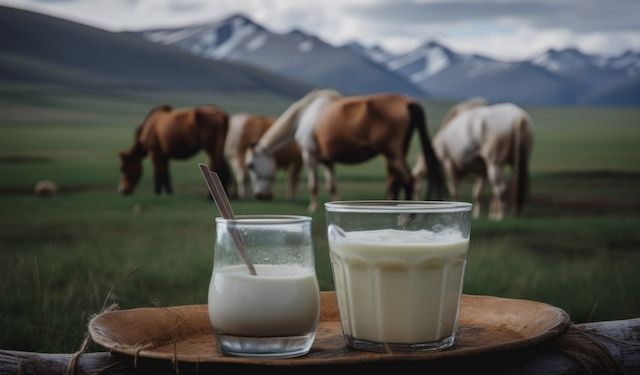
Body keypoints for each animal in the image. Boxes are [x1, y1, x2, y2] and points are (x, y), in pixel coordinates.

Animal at [242, 88, 448, 212]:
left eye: (250, 165)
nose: (260, 196)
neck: (305, 114)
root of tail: (409, 103)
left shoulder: (310, 155)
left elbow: (313, 185)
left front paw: (312, 208)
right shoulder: (328, 161)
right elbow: (332, 186)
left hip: (393, 154)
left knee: (409, 181)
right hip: (395, 155)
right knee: (395, 181)